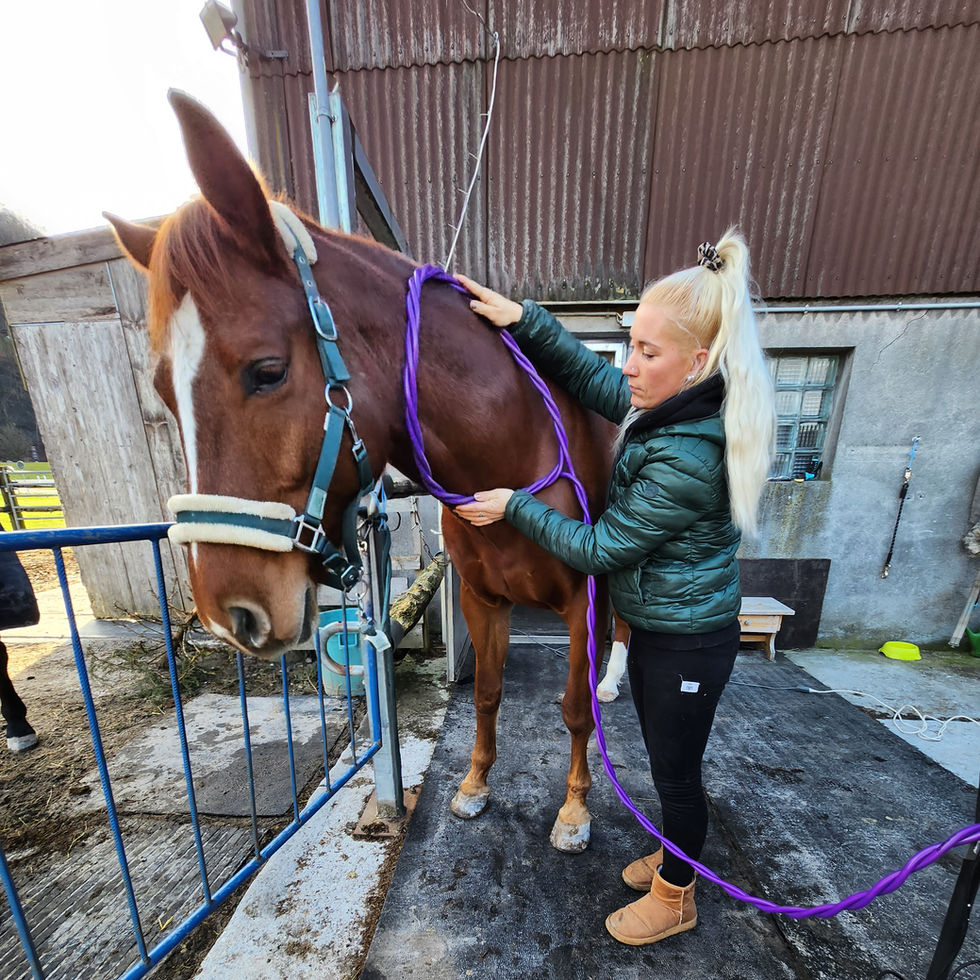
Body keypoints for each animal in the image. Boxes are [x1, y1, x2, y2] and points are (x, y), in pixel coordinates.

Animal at [106, 91, 617, 852]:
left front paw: (575, 810)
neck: (513, 460)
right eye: (164, 389)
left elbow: (575, 706)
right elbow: (487, 694)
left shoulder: (581, 601)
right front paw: (474, 785)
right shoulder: (481, 601)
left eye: (267, 371)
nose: (230, 615)